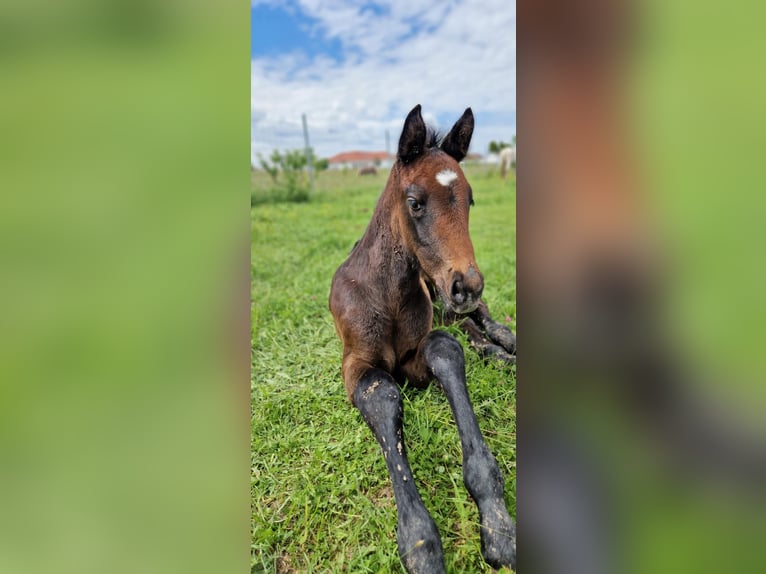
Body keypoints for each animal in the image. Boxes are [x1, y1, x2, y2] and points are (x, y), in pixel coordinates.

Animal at [329, 105, 516, 573]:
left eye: (469, 199)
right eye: (414, 202)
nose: (468, 284)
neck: (386, 294)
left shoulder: (425, 346)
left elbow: (444, 349)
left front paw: (497, 523)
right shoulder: (354, 363)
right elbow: (381, 393)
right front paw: (421, 543)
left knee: (482, 325)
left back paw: (507, 346)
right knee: (474, 334)